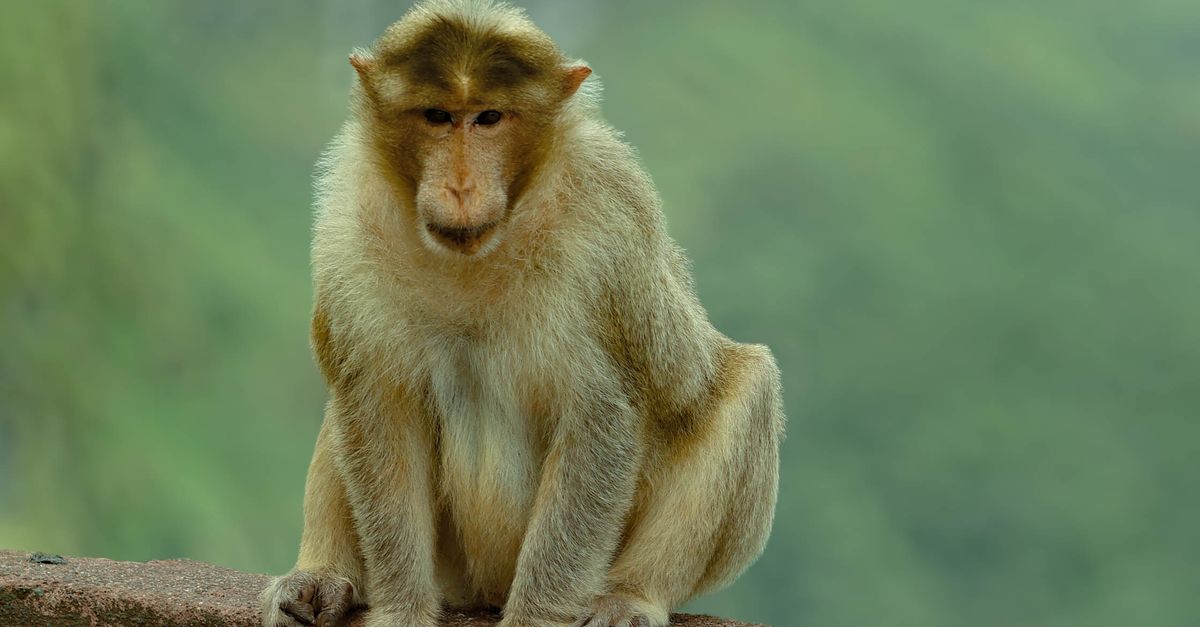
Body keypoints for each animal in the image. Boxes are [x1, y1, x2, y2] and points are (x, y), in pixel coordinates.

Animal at [259, 1, 784, 626]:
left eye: (489, 118)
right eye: (438, 115)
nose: (461, 186)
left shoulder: (609, 221)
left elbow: (599, 424)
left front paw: (538, 615)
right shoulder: (348, 220)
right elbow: (379, 412)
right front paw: (401, 608)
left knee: (750, 385)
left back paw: (633, 595)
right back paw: (323, 573)